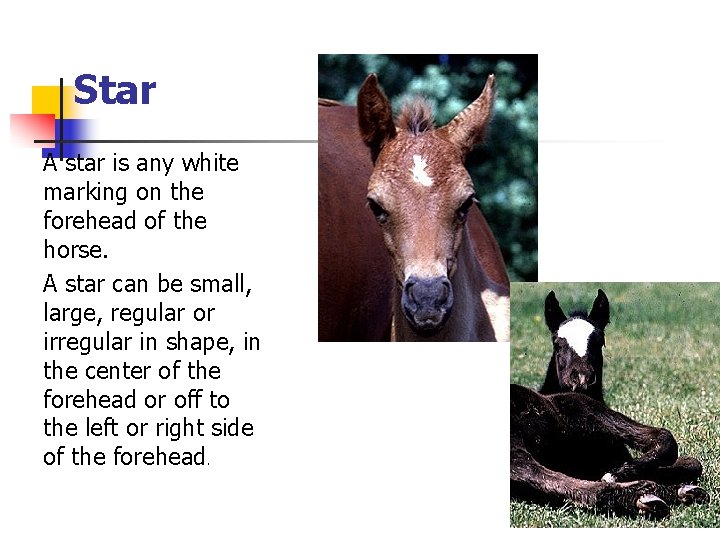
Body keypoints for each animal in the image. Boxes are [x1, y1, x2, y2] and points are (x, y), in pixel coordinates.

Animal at [511, 290, 708, 517]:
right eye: (557, 343)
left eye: (600, 341)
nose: (582, 379)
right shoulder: (587, 410)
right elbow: (666, 438)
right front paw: (620, 473)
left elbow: (691, 463)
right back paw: (645, 495)